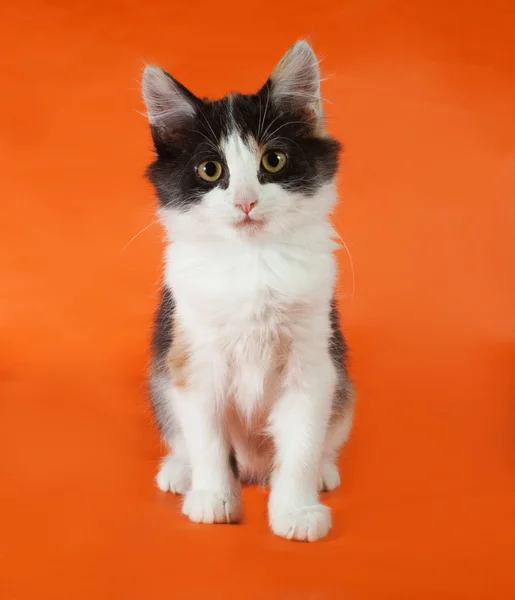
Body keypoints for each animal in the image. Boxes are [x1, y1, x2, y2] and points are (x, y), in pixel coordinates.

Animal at [143, 39, 356, 540]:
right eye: (209, 169)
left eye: (272, 161)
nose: (245, 201)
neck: (253, 262)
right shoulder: (191, 357)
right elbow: (205, 438)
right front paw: (213, 497)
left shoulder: (312, 362)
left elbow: (301, 443)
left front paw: (297, 509)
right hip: (161, 378)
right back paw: (180, 472)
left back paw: (323, 471)